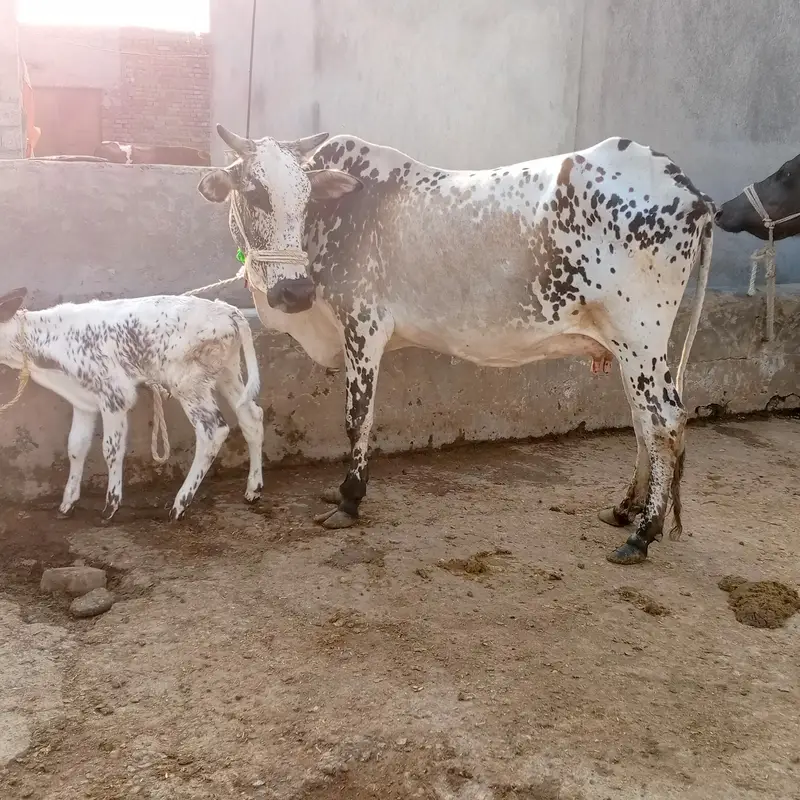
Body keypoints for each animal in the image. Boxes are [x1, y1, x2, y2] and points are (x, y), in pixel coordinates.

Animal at [0, 290, 263, 521]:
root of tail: (227, 310)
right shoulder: (82, 399)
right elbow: (76, 447)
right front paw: (67, 503)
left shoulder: (115, 395)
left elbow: (111, 450)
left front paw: (111, 506)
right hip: (227, 373)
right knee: (251, 417)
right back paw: (254, 489)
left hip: (189, 383)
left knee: (213, 430)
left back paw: (180, 503)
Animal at [197, 125, 714, 565]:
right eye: (253, 192)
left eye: (306, 199)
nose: (296, 291)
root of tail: (692, 192)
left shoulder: (363, 326)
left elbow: (357, 419)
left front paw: (349, 498)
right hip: (629, 350)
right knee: (644, 424)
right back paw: (625, 511)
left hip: (641, 339)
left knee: (665, 424)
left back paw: (643, 534)